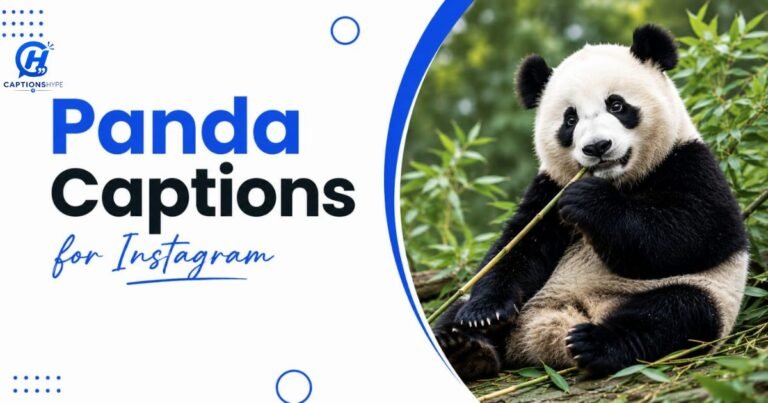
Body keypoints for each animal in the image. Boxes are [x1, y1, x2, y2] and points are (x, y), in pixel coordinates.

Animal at [433, 24, 749, 381]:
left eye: (616, 105)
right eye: (570, 120)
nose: (597, 146)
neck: (616, 180)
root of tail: (548, 333)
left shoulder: (688, 163)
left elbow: (696, 234)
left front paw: (588, 201)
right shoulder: (548, 189)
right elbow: (517, 246)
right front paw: (485, 313)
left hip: (705, 296)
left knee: (674, 314)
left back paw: (593, 344)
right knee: (456, 309)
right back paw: (465, 348)